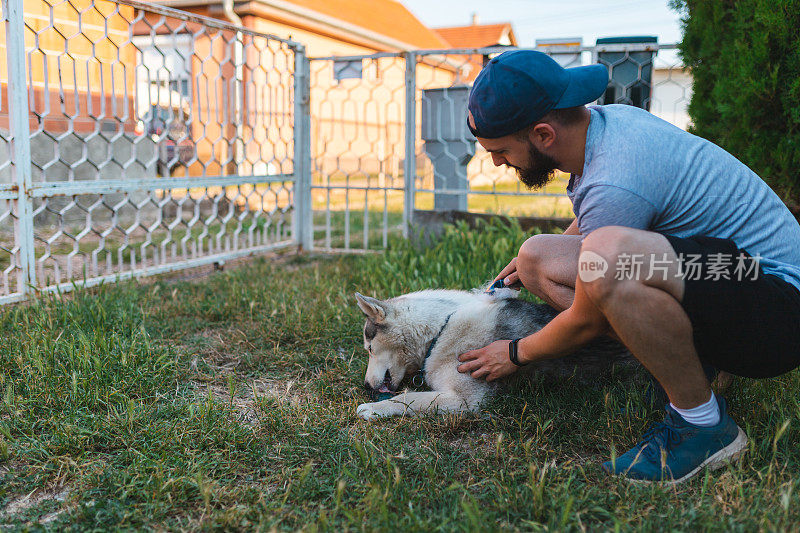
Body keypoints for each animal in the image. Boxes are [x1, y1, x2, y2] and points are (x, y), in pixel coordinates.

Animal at [356, 286, 632, 420]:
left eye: (369, 349)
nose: (367, 386)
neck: (442, 327)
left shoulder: (464, 401)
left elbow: (409, 399)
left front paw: (376, 408)